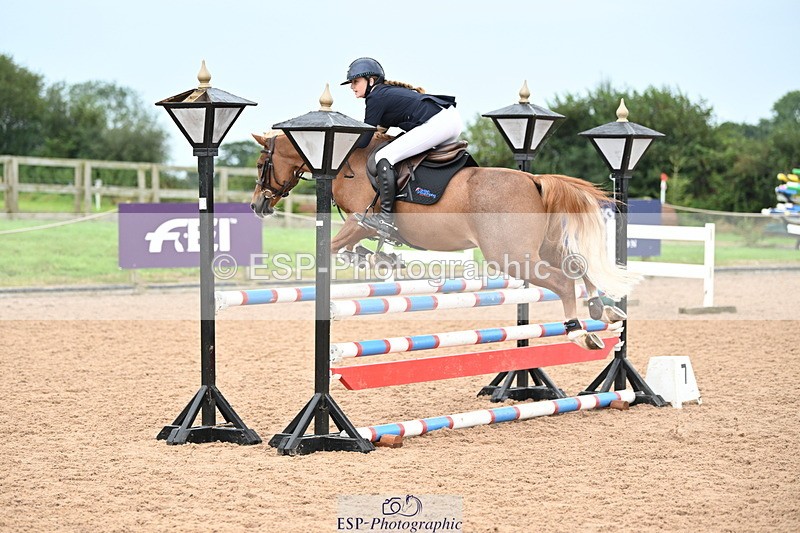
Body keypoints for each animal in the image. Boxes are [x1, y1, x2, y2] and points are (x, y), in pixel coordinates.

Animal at [250, 131, 637, 350]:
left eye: (259, 164)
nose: (256, 205)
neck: (348, 164)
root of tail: (535, 181)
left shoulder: (363, 222)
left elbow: (331, 247)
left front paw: (362, 258)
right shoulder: (365, 228)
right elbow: (347, 249)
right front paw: (374, 259)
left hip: (512, 256)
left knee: (562, 281)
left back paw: (579, 333)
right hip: (542, 248)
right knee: (576, 264)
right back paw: (603, 308)